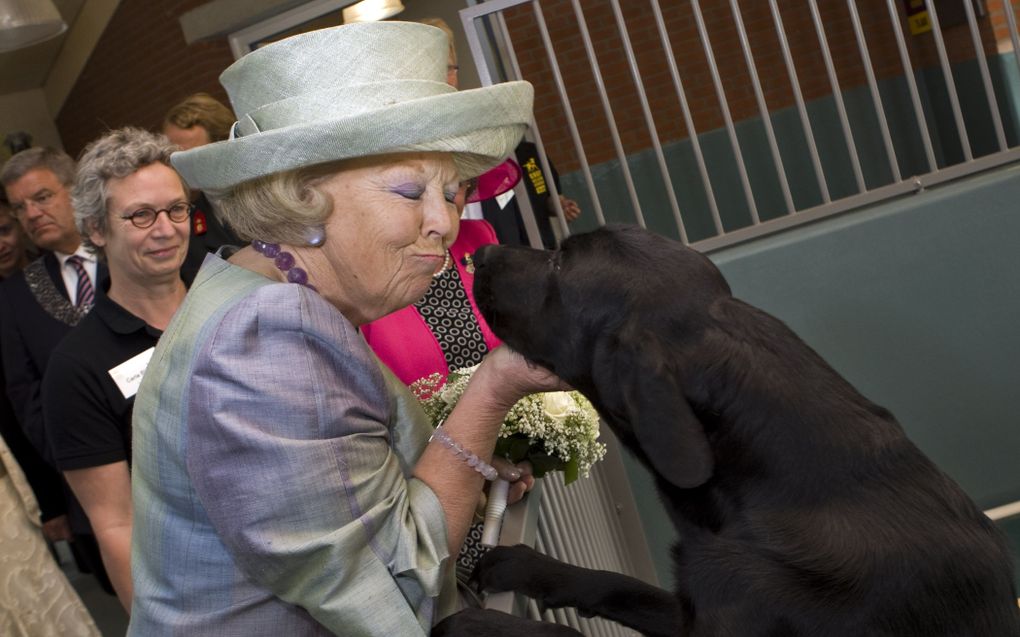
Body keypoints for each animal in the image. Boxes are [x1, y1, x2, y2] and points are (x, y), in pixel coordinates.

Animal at [432, 226, 1020, 631]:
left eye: (557, 261)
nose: (479, 253)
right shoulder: (694, 603)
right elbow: (617, 585)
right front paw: (525, 566)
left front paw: (478, 621)